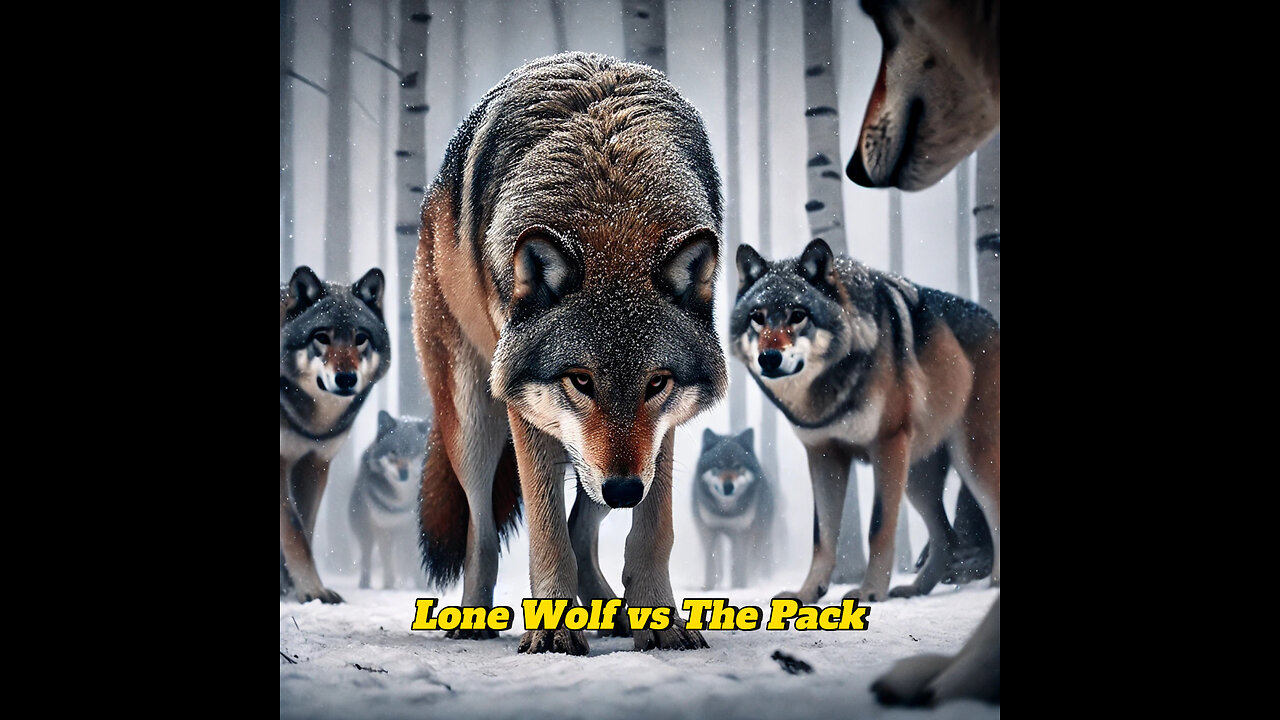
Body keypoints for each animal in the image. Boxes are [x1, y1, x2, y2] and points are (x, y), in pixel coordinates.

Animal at [280, 265, 390, 604]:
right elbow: (293, 530)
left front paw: (293, 587)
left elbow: (305, 528)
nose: (346, 378)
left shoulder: (315, 464)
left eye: (360, 338)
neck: (312, 424)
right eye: (322, 337)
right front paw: (312, 590)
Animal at [348, 411, 431, 590]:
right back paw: (365, 584)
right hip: (365, 530)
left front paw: (422, 587)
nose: (403, 473)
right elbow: (388, 562)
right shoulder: (383, 529)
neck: (402, 501)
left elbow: (416, 562)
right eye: (394, 452)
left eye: (413, 453)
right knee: (366, 557)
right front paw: (389, 587)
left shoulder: (414, 531)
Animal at [412, 52, 726, 655]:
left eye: (657, 383)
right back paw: (474, 620)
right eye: (580, 380)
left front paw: (660, 621)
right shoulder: (528, 413)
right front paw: (554, 630)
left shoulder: (659, 437)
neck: (612, 211)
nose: (624, 489)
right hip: (476, 422)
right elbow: (546, 531)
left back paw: (613, 611)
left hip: (597, 460)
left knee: (585, 531)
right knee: (483, 535)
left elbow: (653, 530)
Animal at [692, 428, 779, 590]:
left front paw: (739, 587)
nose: (728, 486)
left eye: (737, 466)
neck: (726, 512)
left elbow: (740, 563)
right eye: (718, 466)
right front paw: (709, 588)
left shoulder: (741, 533)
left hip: (759, 536)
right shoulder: (709, 531)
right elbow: (711, 563)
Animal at [731, 239, 999, 606]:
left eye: (798, 315)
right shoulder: (823, 454)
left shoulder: (887, 445)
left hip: (971, 461)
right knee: (945, 538)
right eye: (757, 318)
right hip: (918, 477)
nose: (769, 357)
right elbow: (822, 536)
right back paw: (913, 590)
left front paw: (871, 591)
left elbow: (879, 527)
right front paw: (807, 593)